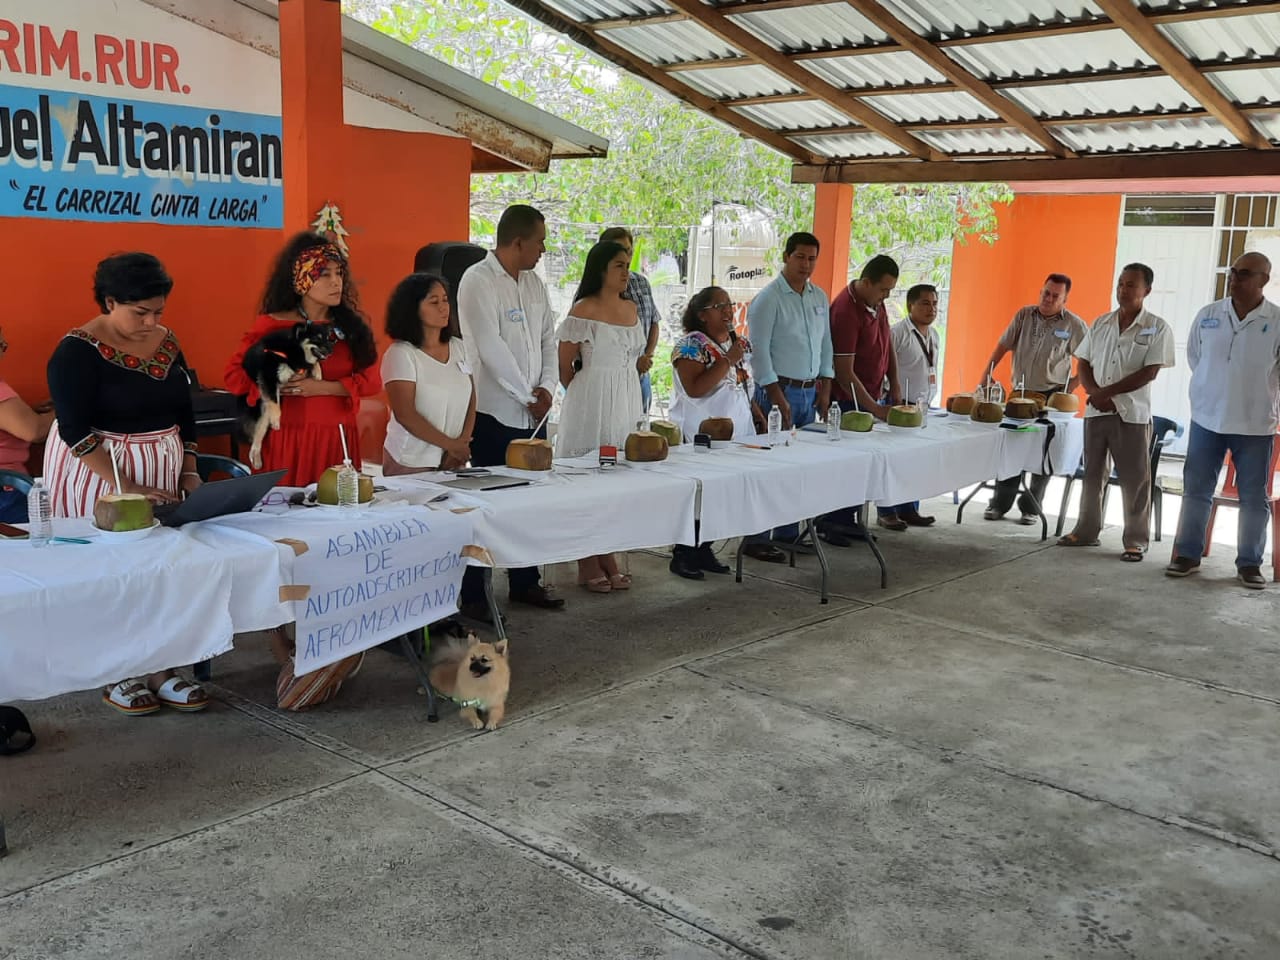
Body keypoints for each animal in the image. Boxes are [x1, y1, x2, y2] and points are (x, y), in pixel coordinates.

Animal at [240, 323, 335, 471]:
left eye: (327, 338)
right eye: (316, 338)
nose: (331, 350)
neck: (294, 348)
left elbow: (312, 363)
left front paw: (318, 372)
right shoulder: (268, 378)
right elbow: (276, 405)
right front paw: (276, 420)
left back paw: (256, 458)